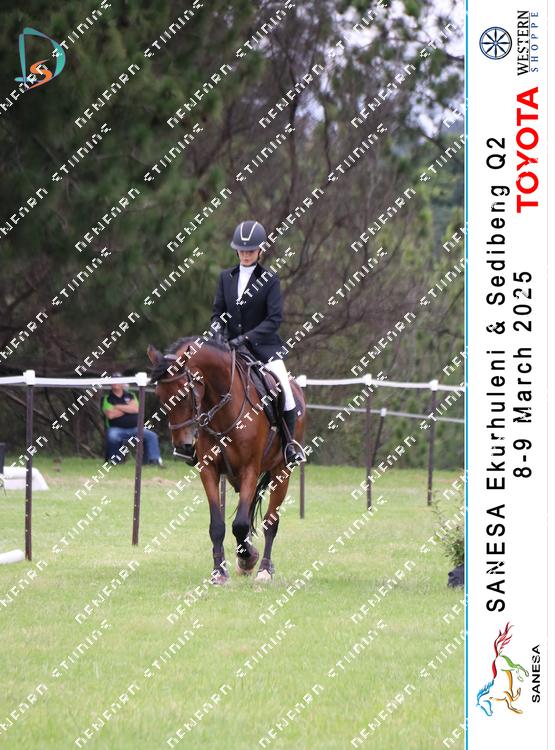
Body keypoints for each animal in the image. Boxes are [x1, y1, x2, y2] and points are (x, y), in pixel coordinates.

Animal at [147, 335, 306, 584]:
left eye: (184, 394)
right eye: (159, 396)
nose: (182, 445)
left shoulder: (250, 469)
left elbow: (240, 524)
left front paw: (248, 558)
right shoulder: (209, 470)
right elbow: (218, 525)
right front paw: (220, 572)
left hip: (282, 470)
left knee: (270, 523)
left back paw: (264, 569)